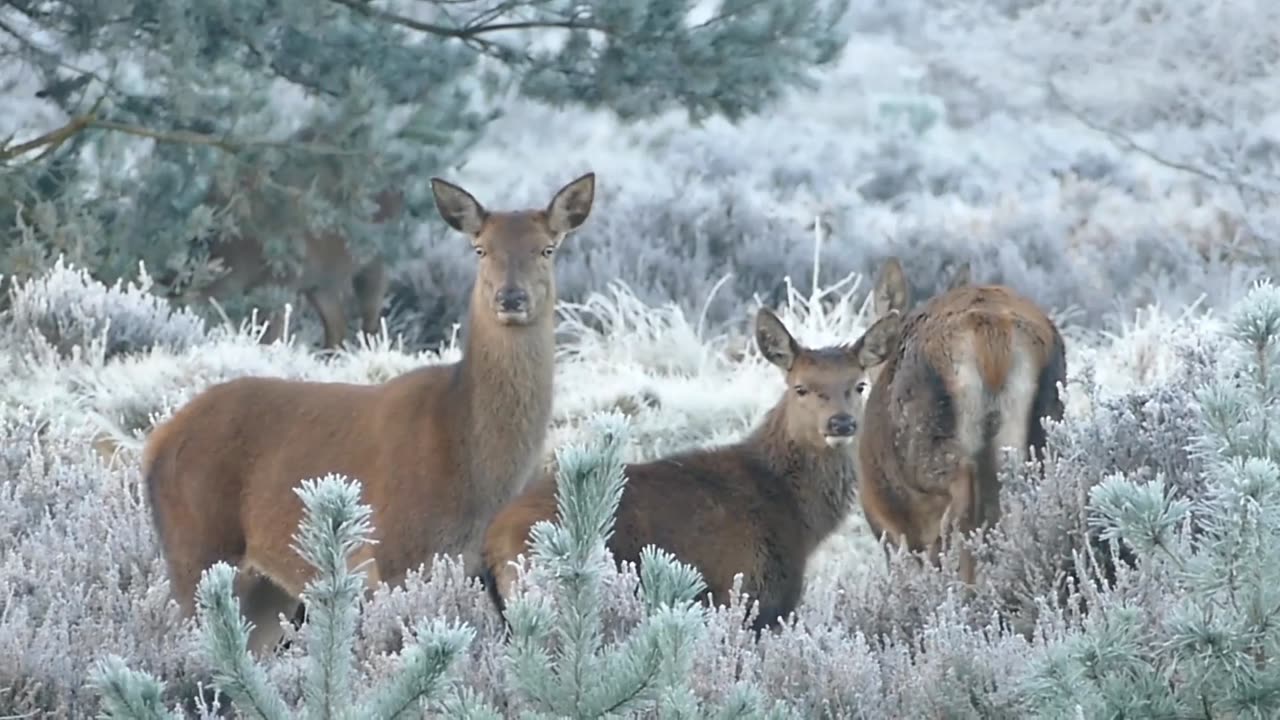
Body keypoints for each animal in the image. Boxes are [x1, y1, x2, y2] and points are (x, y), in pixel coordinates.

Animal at [144, 170, 593, 653]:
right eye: (480, 248)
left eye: (547, 248)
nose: (511, 298)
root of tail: (156, 443)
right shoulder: (391, 552)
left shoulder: (475, 563)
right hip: (196, 546)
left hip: (265, 587)